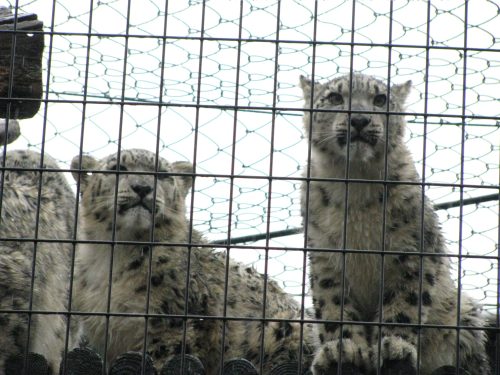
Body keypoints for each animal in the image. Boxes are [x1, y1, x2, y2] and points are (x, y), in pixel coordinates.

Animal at [70, 148, 314, 374]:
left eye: (163, 174)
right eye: (118, 168)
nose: (142, 188)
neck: (116, 253)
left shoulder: (172, 324)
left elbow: (164, 357)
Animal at [298, 73, 490, 375]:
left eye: (380, 100)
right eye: (335, 98)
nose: (360, 119)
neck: (356, 183)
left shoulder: (410, 250)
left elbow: (404, 301)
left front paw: (394, 347)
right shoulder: (324, 256)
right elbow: (332, 305)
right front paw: (343, 350)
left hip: (464, 315)